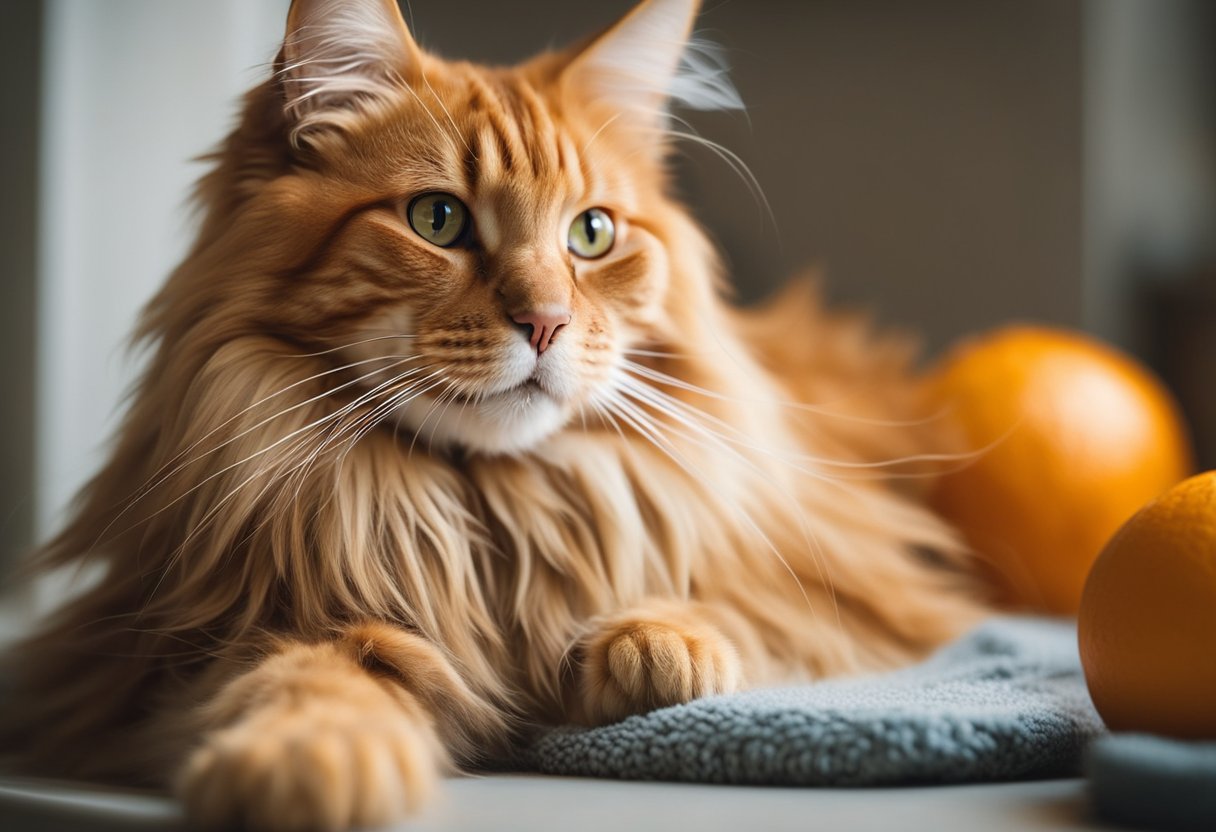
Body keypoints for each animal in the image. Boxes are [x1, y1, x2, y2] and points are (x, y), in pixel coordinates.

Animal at [2, 0, 987, 827]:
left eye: (592, 234)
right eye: (437, 220)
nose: (545, 321)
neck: (490, 517)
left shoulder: (847, 592)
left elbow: (744, 608)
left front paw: (653, 642)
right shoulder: (169, 653)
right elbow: (312, 670)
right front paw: (306, 760)